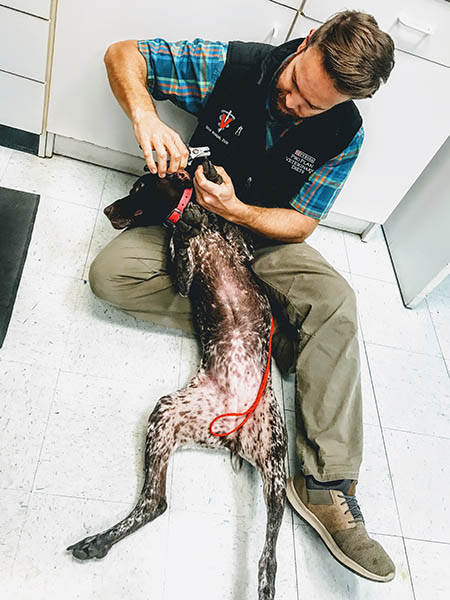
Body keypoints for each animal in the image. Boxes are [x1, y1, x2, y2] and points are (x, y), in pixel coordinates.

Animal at [66, 161, 286, 600]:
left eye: (138, 187)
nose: (109, 210)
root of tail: (235, 435)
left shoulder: (243, 250)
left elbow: (225, 226)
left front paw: (210, 180)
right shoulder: (182, 274)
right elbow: (183, 246)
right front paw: (190, 213)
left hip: (274, 467)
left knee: (268, 551)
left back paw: (265, 580)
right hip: (168, 412)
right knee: (155, 502)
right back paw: (99, 541)